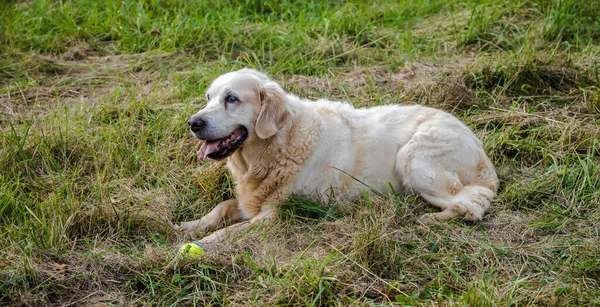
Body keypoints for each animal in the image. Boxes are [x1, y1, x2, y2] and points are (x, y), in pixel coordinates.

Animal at [176, 68, 500, 244]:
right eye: (209, 98)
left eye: (232, 98)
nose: (193, 123)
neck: (278, 144)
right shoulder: (250, 200)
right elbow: (220, 207)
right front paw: (188, 227)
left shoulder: (272, 216)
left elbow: (228, 233)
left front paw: (199, 247)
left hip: (414, 157)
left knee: (470, 204)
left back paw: (427, 218)